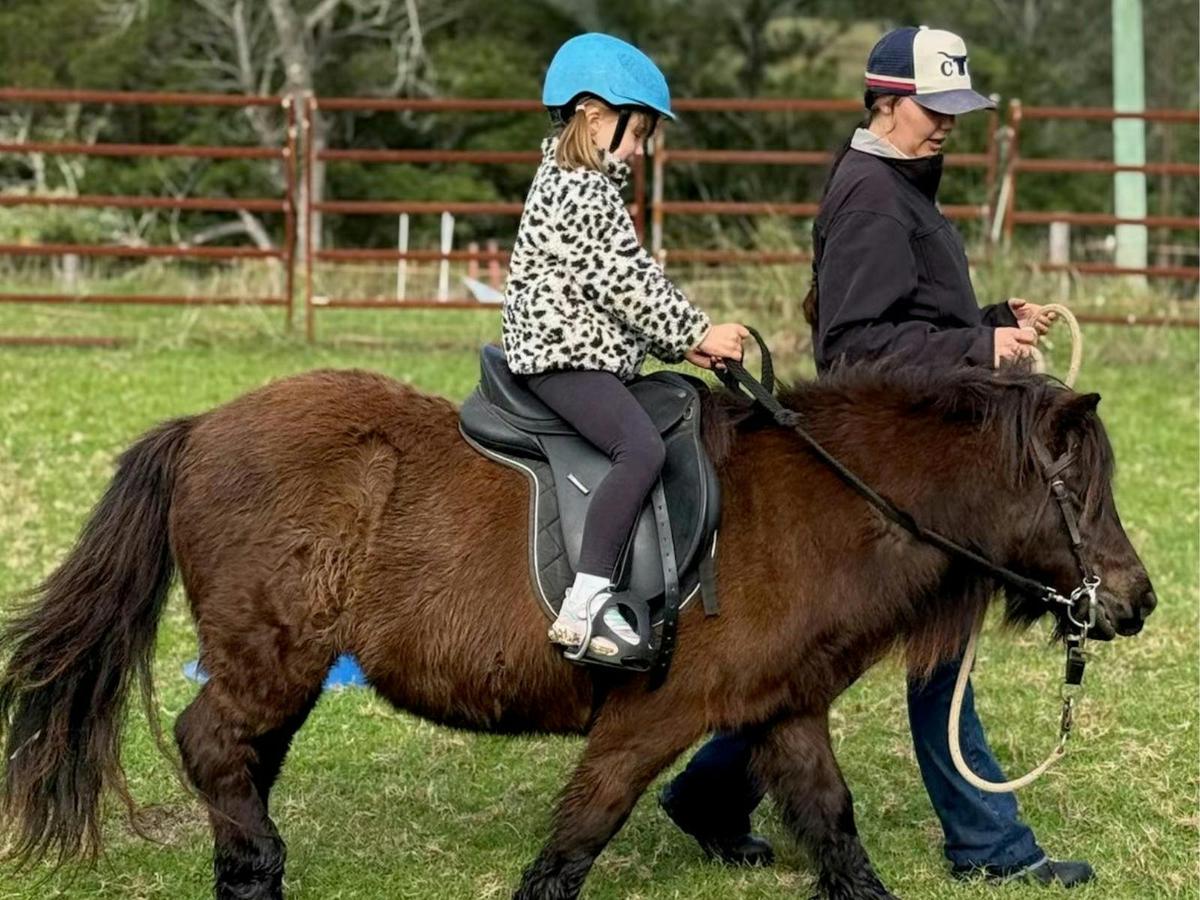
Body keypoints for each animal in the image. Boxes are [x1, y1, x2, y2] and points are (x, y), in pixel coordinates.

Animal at [0, 362, 1156, 900]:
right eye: (1083, 493)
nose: (1136, 600)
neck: (813, 507)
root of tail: (200, 428)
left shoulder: (784, 712)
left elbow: (835, 830)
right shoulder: (651, 719)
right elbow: (578, 838)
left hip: (283, 664)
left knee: (237, 758)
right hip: (272, 654)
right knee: (211, 745)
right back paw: (253, 868)